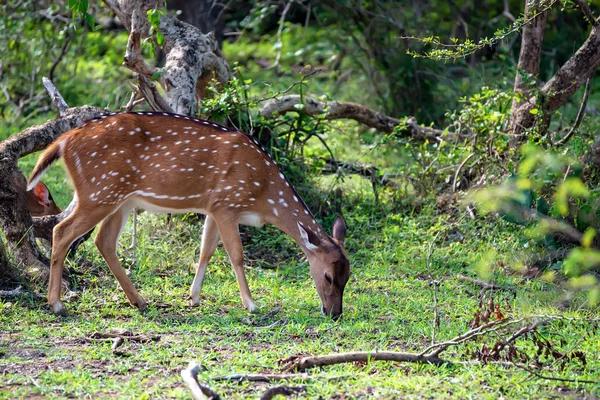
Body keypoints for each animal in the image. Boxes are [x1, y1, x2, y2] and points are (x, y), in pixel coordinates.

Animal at [28, 111, 350, 318]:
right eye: (328, 276)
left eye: (348, 276)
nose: (335, 313)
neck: (264, 193)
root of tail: (64, 141)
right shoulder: (227, 203)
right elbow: (236, 255)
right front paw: (251, 304)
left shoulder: (213, 206)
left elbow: (206, 250)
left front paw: (193, 298)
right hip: (99, 191)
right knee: (61, 231)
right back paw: (56, 304)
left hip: (121, 199)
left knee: (103, 241)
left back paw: (139, 301)